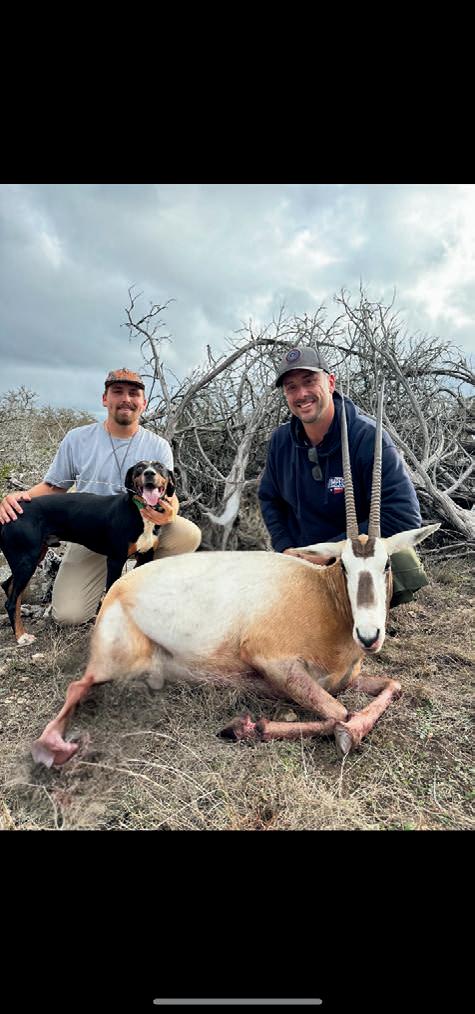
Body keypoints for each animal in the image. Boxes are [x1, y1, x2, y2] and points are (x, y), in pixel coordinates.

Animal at [31, 385, 439, 767]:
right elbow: (342, 715)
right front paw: (247, 726)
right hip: (112, 660)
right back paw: (55, 748)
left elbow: (390, 688)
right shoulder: (273, 662)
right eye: (343, 565)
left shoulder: (350, 679)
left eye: (386, 564)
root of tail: (118, 588)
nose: (369, 636)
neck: (324, 598)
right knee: (75, 688)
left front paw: (250, 727)